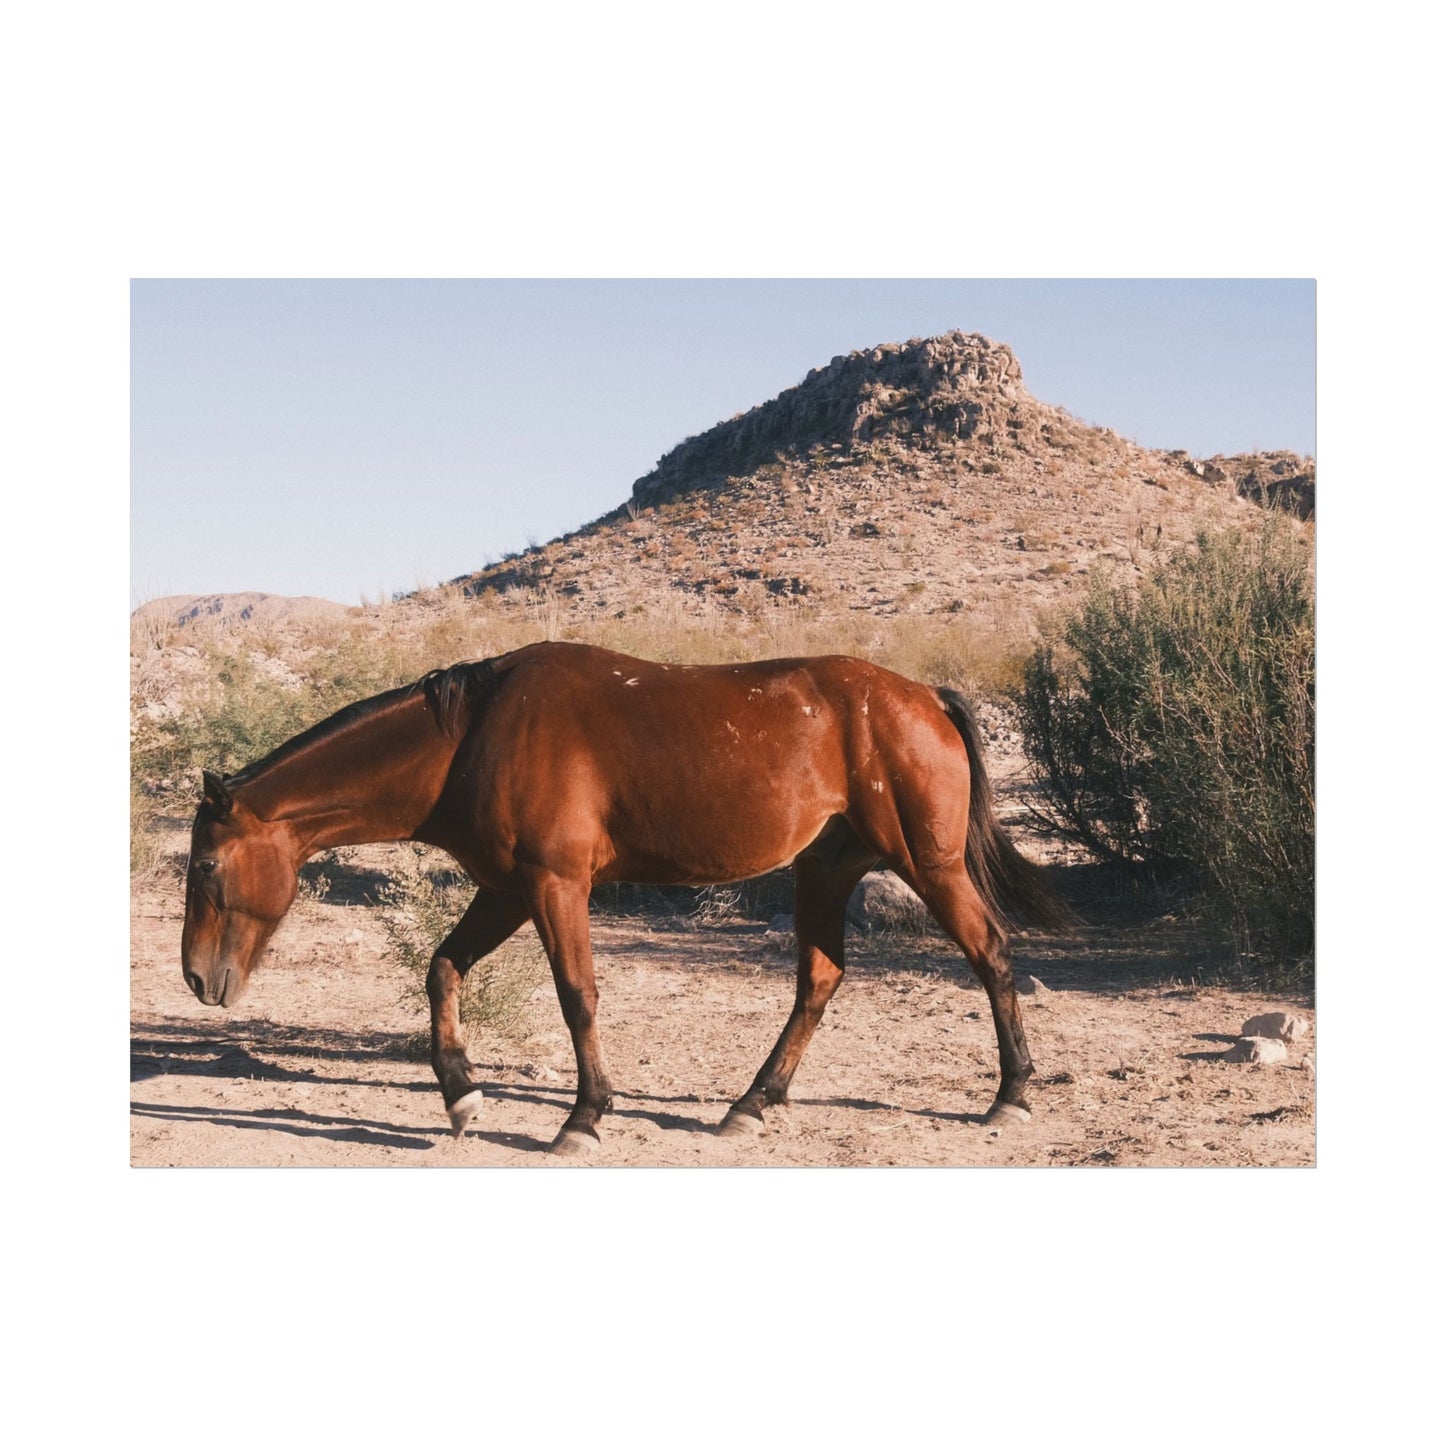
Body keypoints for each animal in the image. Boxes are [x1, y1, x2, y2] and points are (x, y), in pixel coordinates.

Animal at [182, 641, 1072, 1155]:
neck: (473, 735)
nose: (196, 978)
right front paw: (462, 1096)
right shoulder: (506, 889)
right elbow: (440, 970)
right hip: (824, 872)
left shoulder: (553, 885)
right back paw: (751, 1103)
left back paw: (1010, 1095)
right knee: (818, 981)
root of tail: (923, 696)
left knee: (990, 953)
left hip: (928, 864)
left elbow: (577, 995)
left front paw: (582, 1117)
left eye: (207, 867)